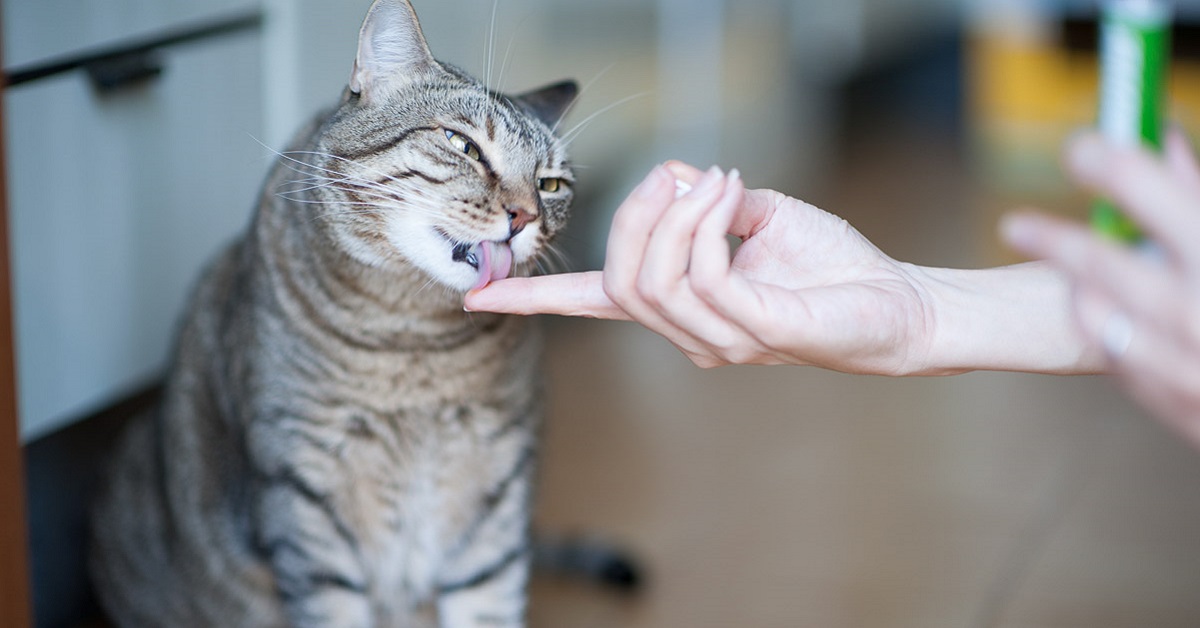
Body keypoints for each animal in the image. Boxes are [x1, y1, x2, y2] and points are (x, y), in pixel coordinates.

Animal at [88, 2, 580, 624]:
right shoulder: (305, 495)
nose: (524, 215)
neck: (417, 342)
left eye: (551, 184)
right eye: (461, 144)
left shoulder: (497, 492)